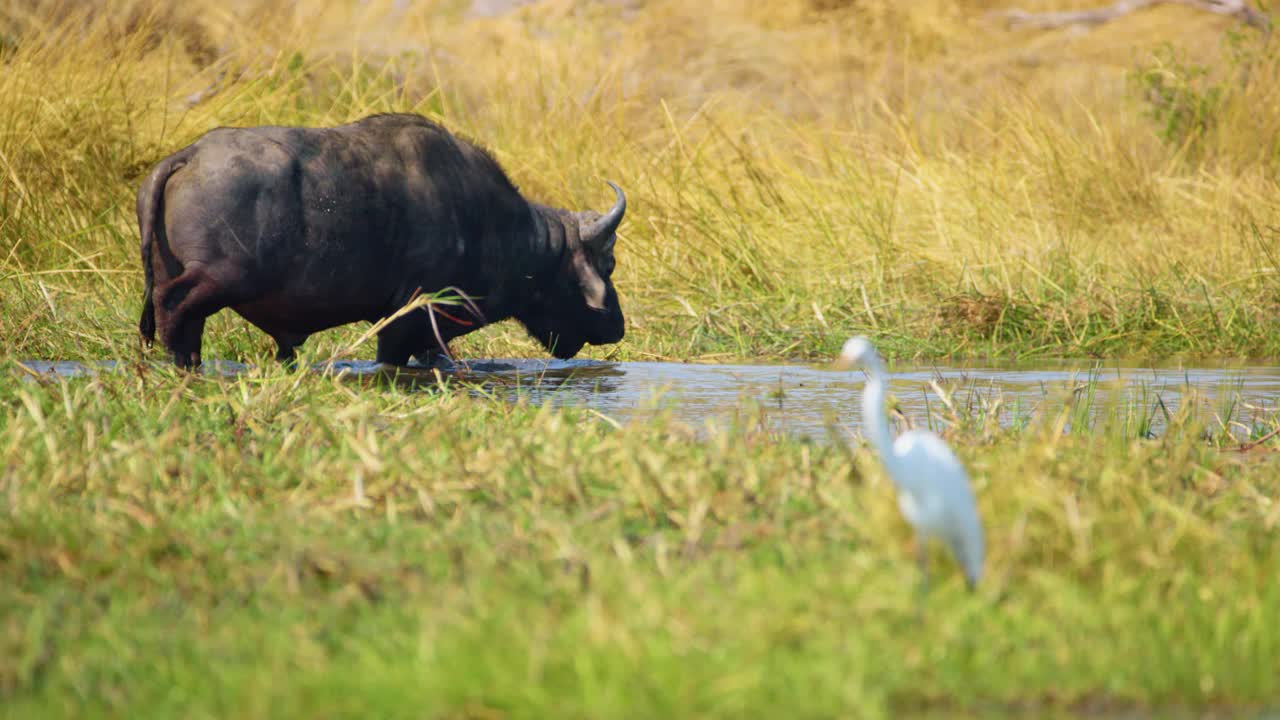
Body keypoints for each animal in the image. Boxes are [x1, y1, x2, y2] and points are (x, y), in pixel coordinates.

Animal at [135, 116, 624, 368]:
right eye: (610, 263)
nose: (617, 327)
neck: (490, 224)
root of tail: (188, 156)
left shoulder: (431, 333)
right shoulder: (408, 315)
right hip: (219, 278)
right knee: (175, 307)